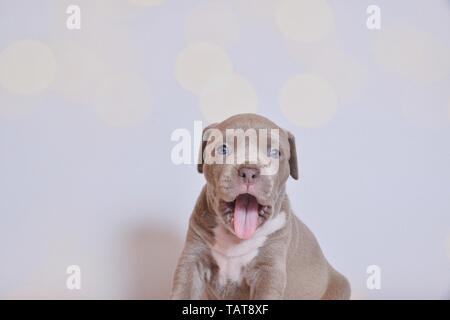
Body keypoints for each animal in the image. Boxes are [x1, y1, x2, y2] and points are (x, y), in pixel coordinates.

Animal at [171, 114, 350, 298]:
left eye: (275, 152)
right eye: (223, 149)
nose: (249, 171)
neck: (235, 239)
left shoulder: (268, 271)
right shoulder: (192, 259)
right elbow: (183, 290)